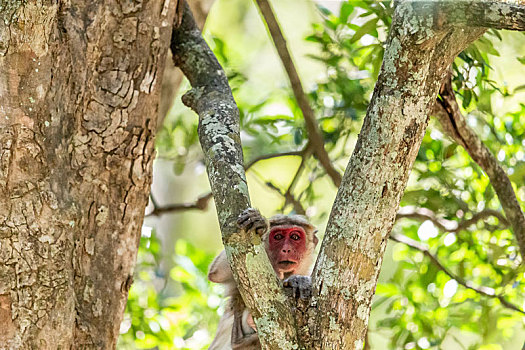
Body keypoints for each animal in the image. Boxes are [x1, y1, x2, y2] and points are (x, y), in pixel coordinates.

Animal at [207, 209, 318, 348]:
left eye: (295, 237)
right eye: (278, 237)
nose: (286, 249)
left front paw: (299, 280)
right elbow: (217, 273)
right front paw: (261, 226)